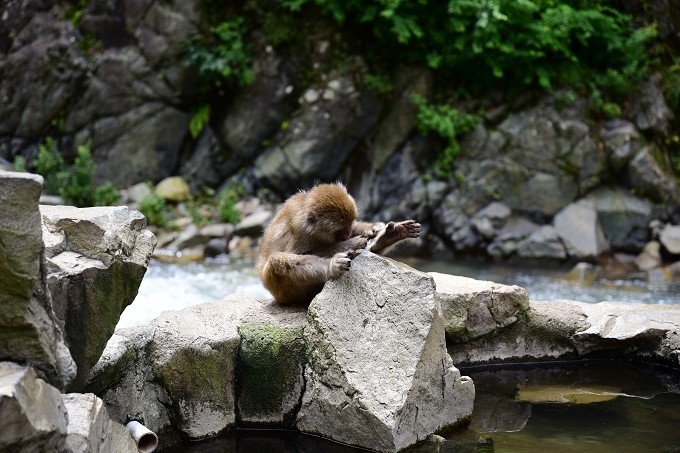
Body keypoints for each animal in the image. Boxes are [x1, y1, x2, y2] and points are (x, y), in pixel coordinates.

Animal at [258, 183, 422, 304]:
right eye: (339, 230)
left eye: (349, 224)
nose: (348, 234)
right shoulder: (299, 231)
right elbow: (301, 253)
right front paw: (351, 243)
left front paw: (374, 229)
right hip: (285, 293)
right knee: (275, 261)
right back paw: (332, 266)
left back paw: (385, 239)